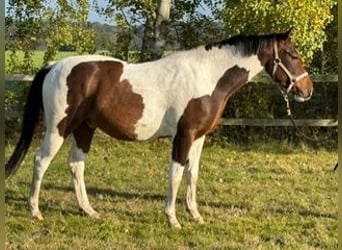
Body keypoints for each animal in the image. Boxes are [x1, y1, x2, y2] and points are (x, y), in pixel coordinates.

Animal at [4, 29, 312, 229]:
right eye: (292, 54)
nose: (307, 90)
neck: (207, 77)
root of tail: (54, 66)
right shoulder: (183, 136)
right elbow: (175, 175)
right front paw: (173, 219)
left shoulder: (199, 138)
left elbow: (192, 175)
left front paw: (195, 215)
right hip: (59, 128)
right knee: (40, 161)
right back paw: (35, 211)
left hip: (85, 129)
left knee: (76, 166)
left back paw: (89, 211)